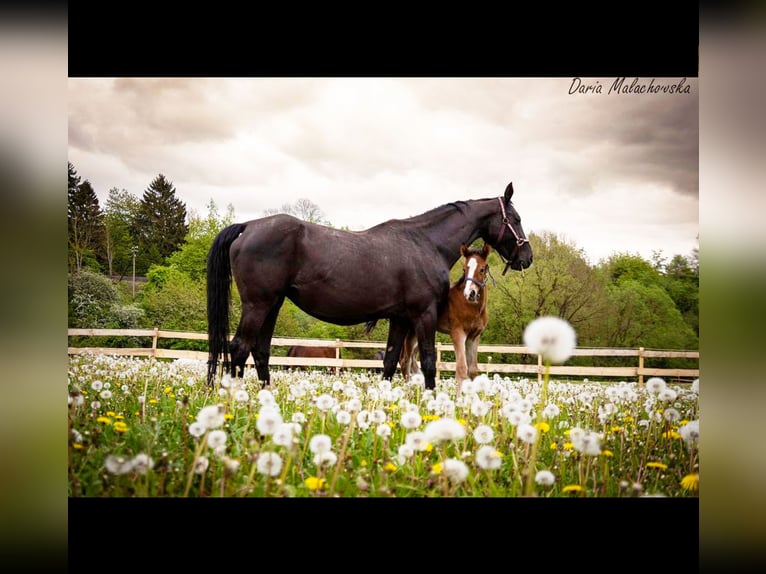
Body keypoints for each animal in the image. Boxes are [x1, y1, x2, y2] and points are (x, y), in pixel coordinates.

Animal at [206, 183, 536, 392]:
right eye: (516, 219)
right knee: (239, 348)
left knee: (260, 350)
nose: (527, 257)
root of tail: (248, 226)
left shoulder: (400, 318)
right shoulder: (424, 315)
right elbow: (429, 362)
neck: (424, 243)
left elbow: (390, 361)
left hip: (272, 305)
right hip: (258, 305)